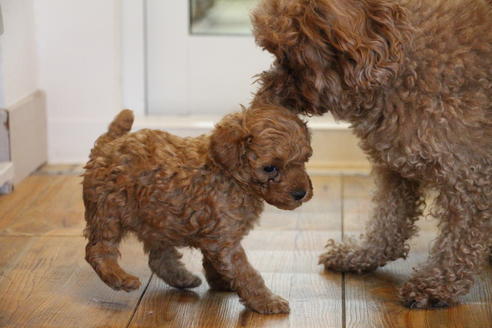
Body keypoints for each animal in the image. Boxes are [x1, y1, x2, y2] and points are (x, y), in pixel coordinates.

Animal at [80, 106, 312, 314]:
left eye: (304, 160)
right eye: (270, 168)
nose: (301, 193)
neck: (230, 174)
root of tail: (107, 146)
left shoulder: (216, 236)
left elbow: (217, 263)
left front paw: (223, 282)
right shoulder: (224, 240)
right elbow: (247, 273)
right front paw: (267, 301)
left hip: (158, 218)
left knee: (159, 258)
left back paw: (183, 278)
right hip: (108, 212)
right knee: (98, 250)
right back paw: (121, 279)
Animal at [252, 0, 492, 308]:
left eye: (288, 56)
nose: (262, 99)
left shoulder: (468, 172)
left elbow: (459, 239)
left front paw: (436, 285)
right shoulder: (395, 165)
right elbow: (387, 218)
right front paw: (363, 255)